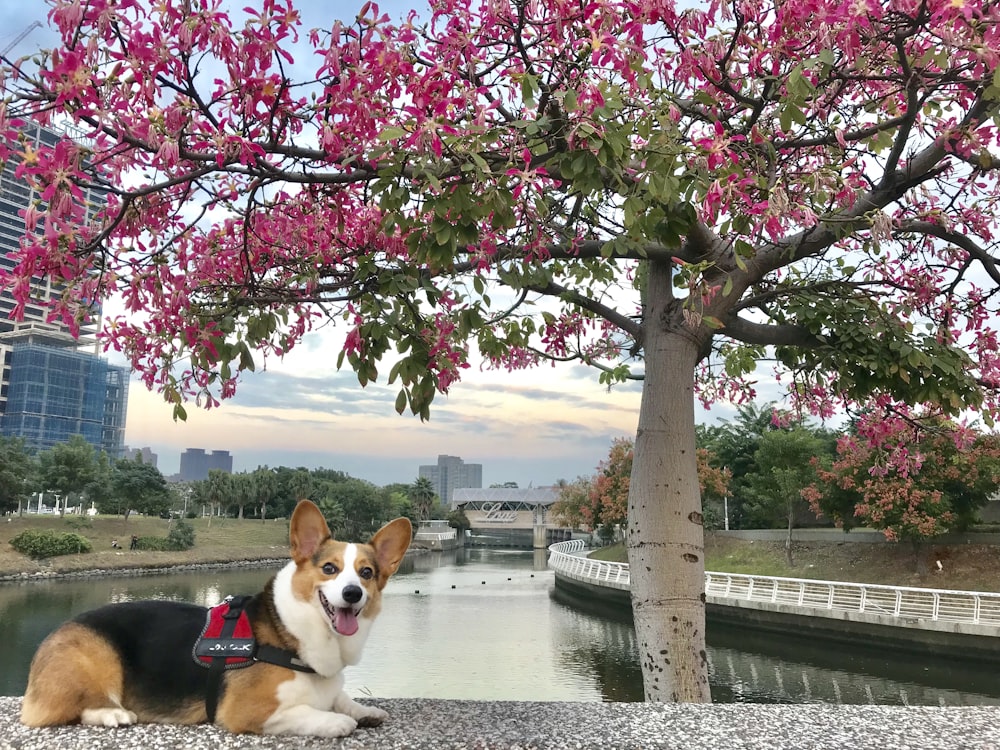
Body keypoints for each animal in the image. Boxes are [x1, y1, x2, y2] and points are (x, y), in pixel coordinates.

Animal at [20, 500, 410, 740]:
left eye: (367, 573)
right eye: (330, 569)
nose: (352, 593)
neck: (293, 635)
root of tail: (52, 633)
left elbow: (342, 698)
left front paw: (364, 709)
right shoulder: (248, 711)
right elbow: (313, 713)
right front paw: (339, 720)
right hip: (97, 659)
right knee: (63, 710)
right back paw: (112, 714)